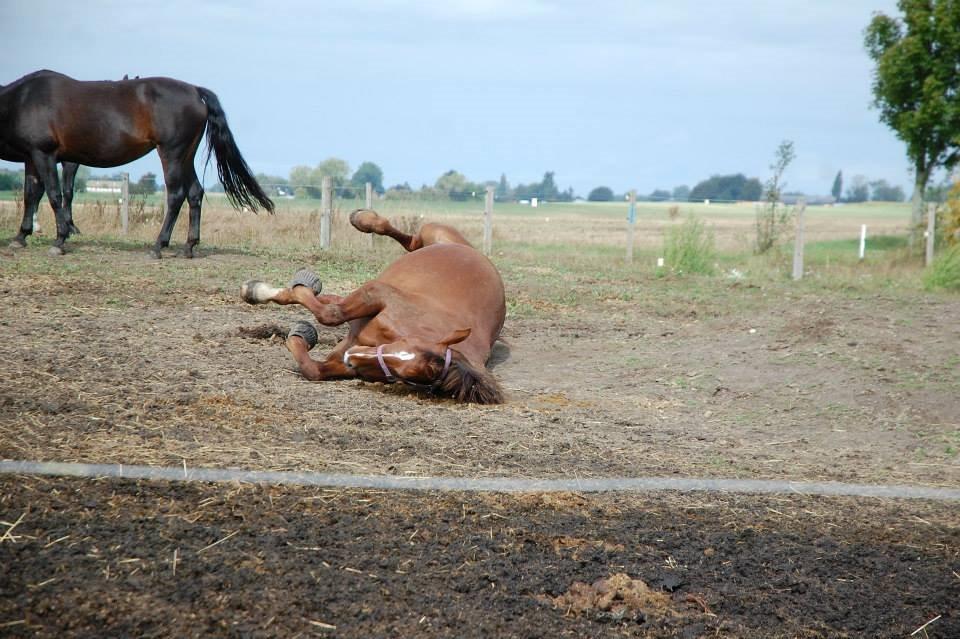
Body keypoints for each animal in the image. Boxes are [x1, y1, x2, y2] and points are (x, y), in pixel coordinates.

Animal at [0, 70, 274, 258]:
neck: (22, 99)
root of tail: (195, 91)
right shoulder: (32, 157)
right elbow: (30, 194)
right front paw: (20, 236)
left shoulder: (44, 154)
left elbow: (54, 195)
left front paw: (59, 240)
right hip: (185, 156)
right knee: (195, 193)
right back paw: (188, 247)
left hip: (172, 153)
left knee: (176, 196)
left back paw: (158, 246)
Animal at [240, 211, 506, 404]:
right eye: (404, 344)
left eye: (403, 375)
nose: (352, 356)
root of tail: (478, 254)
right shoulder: (376, 293)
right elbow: (331, 315)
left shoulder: (348, 362)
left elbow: (313, 369)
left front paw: (301, 334)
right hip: (434, 233)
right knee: (409, 239)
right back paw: (362, 218)